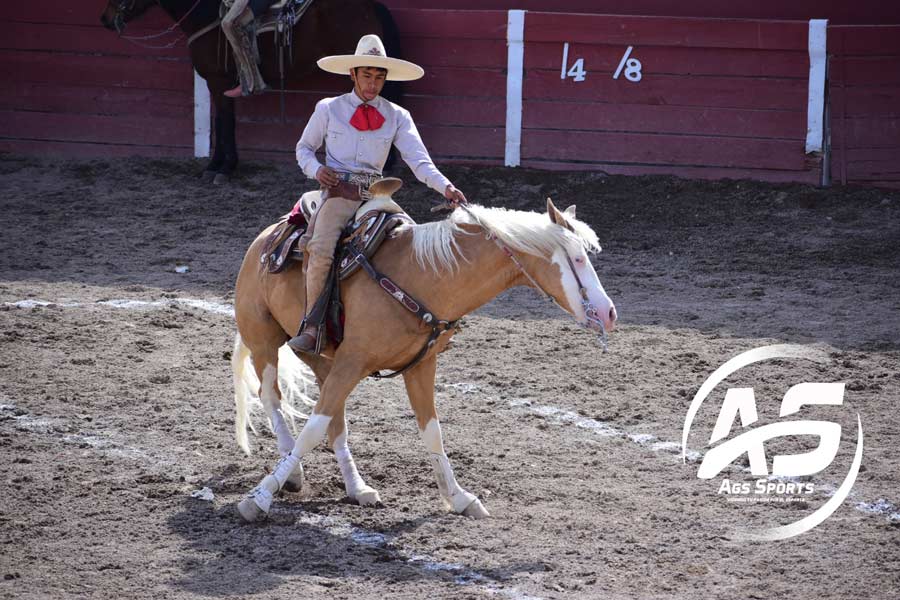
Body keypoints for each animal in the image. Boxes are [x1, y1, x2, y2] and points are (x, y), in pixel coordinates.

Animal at [96, 0, 400, 183]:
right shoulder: (217, 84)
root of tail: (371, 6)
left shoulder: (217, 81)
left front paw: (221, 168)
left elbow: (225, 122)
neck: (205, 16)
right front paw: (218, 165)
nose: (105, 19)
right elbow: (221, 121)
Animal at [230, 198, 620, 520]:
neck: (423, 277)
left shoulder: (419, 366)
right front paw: (259, 498)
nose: (609, 312)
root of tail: (265, 238)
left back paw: (357, 487)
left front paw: (460, 498)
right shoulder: (353, 361)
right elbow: (310, 430)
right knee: (271, 398)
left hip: (322, 359)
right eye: (578, 258)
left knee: (333, 420)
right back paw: (292, 471)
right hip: (264, 339)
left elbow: (432, 433)